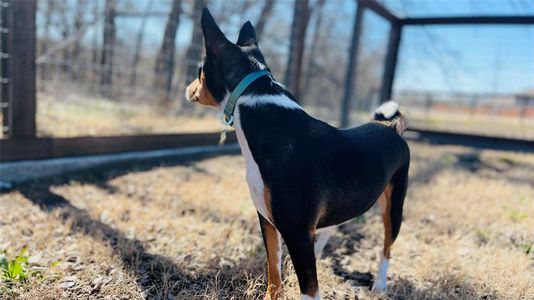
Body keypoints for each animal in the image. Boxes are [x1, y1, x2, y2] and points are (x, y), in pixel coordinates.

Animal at [186, 8, 412, 300]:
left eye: (199, 71)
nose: (188, 88)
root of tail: (391, 127)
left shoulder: (296, 233)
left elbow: (309, 289)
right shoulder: (269, 223)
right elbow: (273, 272)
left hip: (393, 209)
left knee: (386, 247)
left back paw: (380, 284)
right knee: (332, 227)